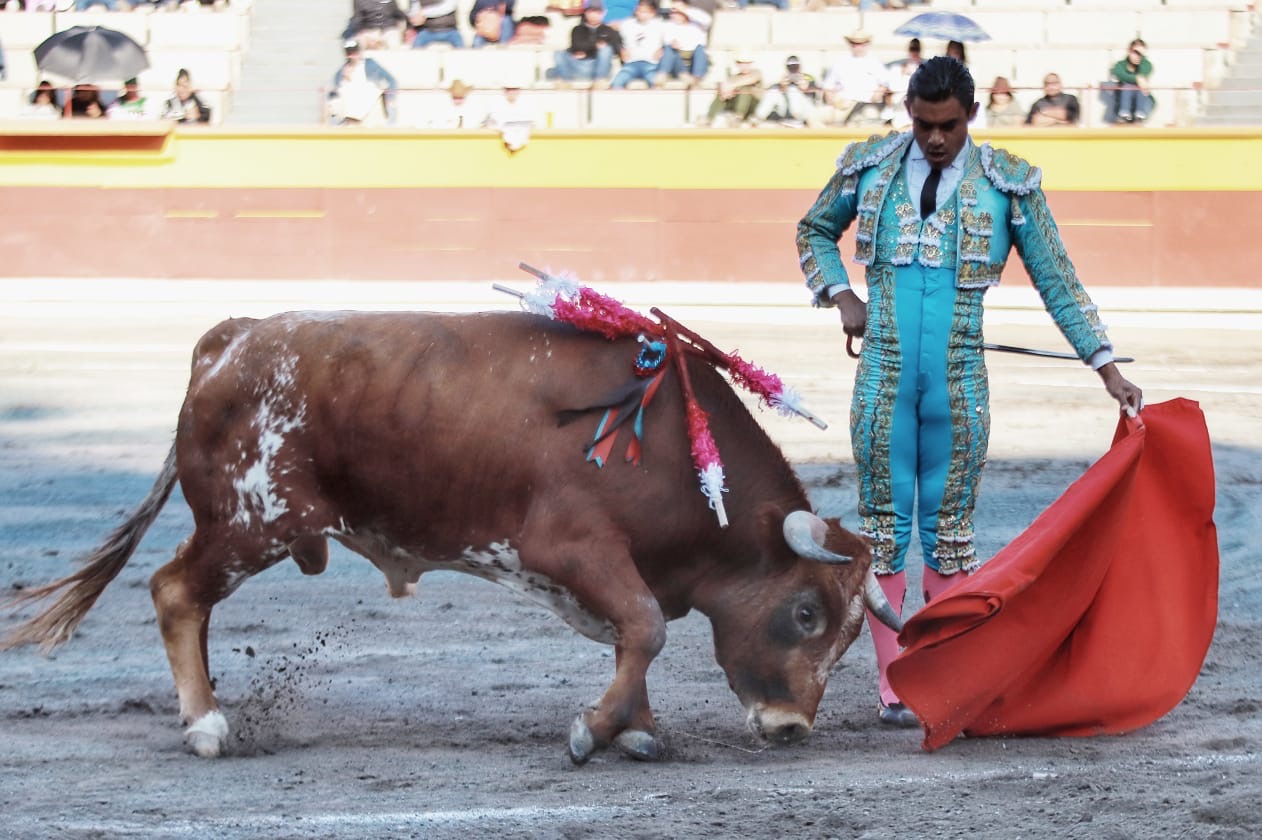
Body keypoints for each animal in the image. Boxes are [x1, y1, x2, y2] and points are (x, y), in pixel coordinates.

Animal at [4, 310, 903, 761]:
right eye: (807, 614)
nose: (791, 728)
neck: (672, 446)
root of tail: (230, 340)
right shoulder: (570, 548)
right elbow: (645, 627)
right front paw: (593, 731)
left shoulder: (618, 569)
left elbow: (633, 633)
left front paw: (635, 730)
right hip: (249, 521)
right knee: (174, 591)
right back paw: (205, 725)